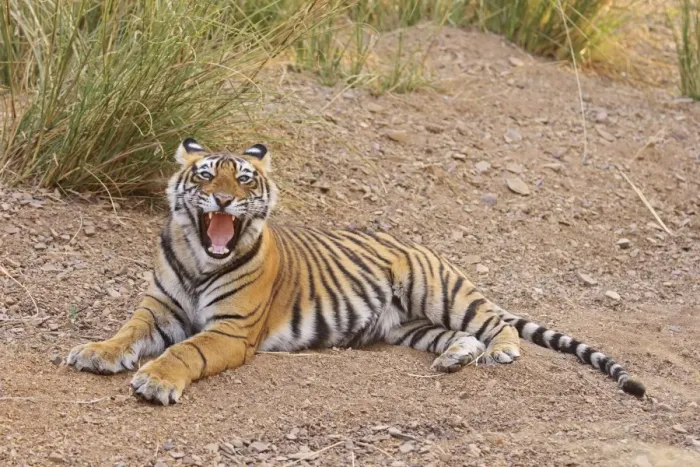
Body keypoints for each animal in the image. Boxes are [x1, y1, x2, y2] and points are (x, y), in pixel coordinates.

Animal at [66, 138, 646, 405]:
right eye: (206, 175)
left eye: (245, 180)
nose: (225, 202)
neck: (198, 259)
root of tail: (412, 239)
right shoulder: (157, 308)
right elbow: (127, 332)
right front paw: (97, 352)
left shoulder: (229, 331)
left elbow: (185, 351)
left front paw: (156, 380)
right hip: (412, 327)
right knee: (458, 338)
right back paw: (456, 360)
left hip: (440, 290)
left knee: (494, 322)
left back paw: (500, 350)